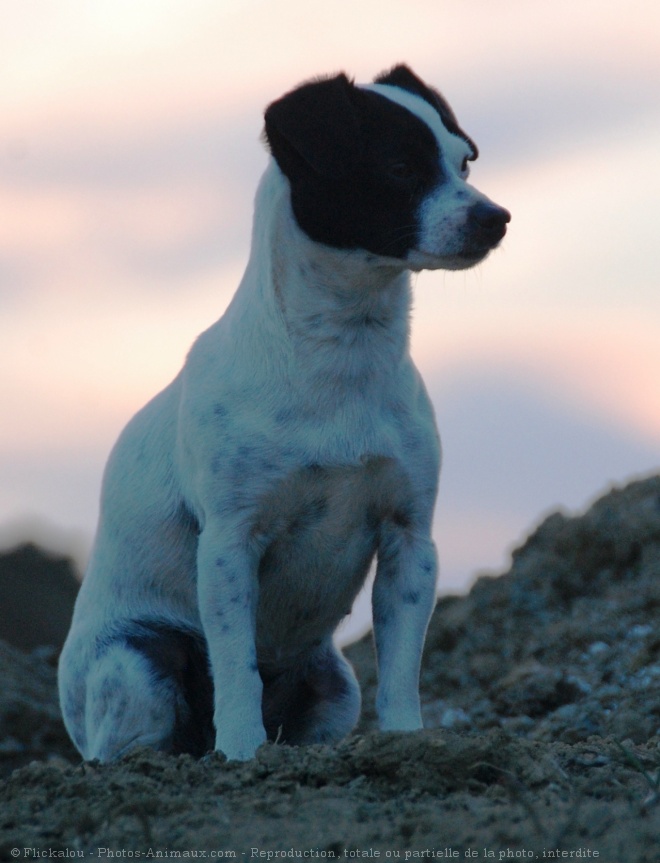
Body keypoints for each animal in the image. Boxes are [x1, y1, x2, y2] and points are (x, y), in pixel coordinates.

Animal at [58, 64, 510, 760]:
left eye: (463, 162)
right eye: (400, 166)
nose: (497, 218)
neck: (342, 354)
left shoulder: (410, 539)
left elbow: (401, 663)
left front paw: (406, 737)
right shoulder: (228, 543)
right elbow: (236, 664)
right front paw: (243, 751)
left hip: (334, 684)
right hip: (136, 665)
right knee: (130, 740)